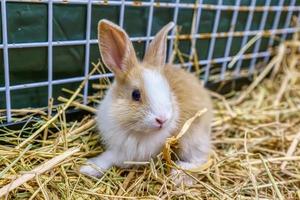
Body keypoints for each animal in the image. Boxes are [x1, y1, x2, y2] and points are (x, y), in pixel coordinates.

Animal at [79, 19, 213, 184]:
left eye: (168, 90)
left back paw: (178, 174)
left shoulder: (124, 154)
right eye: (135, 94)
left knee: (201, 159)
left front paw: (86, 168)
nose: (162, 120)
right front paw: (86, 168)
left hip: (192, 139)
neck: (135, 131)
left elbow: (108, 158)